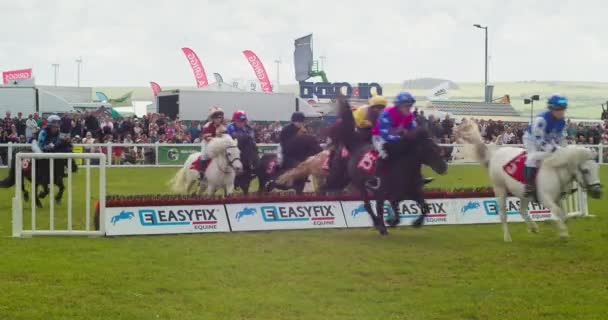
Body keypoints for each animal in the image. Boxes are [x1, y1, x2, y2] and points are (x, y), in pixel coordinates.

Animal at [456, 121, 604, 241]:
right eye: (585, 170)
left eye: (597, 168)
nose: (598, 192)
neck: (555, 169)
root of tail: (494, 154)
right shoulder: (546, 199)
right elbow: (557, 213)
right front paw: (562, 232)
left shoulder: (558, 199)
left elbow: (564, 215)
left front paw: (561, 228)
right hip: (500, 189)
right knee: (503, 214)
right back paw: (507, 237)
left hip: (524, 194)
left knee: (522, 210)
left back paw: (533, 227)